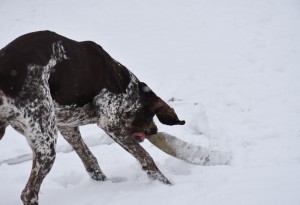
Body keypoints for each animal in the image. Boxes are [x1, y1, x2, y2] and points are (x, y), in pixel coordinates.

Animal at [0, 30, 184, 205]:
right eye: (150, 117)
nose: (154, 130)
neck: (125, 84)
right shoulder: (110, 123)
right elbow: (146, 157)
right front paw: (167, 185)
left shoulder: (67, 126)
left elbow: (90, 161)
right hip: (46, 144)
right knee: (28, 193)